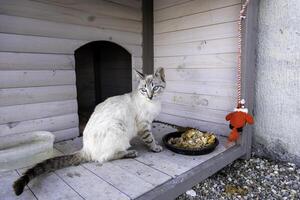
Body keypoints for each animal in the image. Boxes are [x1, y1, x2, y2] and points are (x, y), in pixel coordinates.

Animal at [12, 67, 166, 195]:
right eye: (144, 90)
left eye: (155, 88)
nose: (150, 96)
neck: (153, 103)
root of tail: (85, 148)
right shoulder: (143, 125)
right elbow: (150, 139)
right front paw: (156, 147)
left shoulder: (147, 123)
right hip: (117, 127)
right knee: (104, 158)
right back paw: (130, 152)